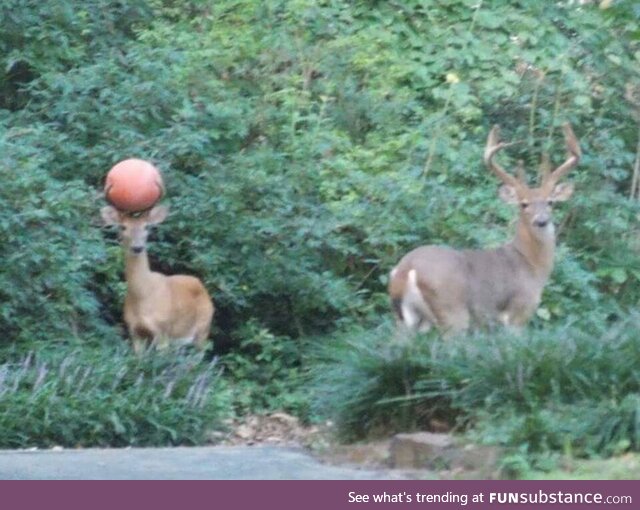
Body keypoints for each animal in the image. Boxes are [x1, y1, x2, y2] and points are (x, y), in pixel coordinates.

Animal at [100, 205, 215, 352]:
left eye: (146, 226)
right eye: (123, 227)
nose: (137, 247)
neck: (143, 296)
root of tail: (200, 284)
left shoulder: (163, 331)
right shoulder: (135, 332)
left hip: (203, 329)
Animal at [390, 123, 580, 334]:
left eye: (550, 202)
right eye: (524, 204)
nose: (541, 221)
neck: (531, 264)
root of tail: (406, 268)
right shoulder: (519, 312)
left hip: (408, 319)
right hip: (451, 310)